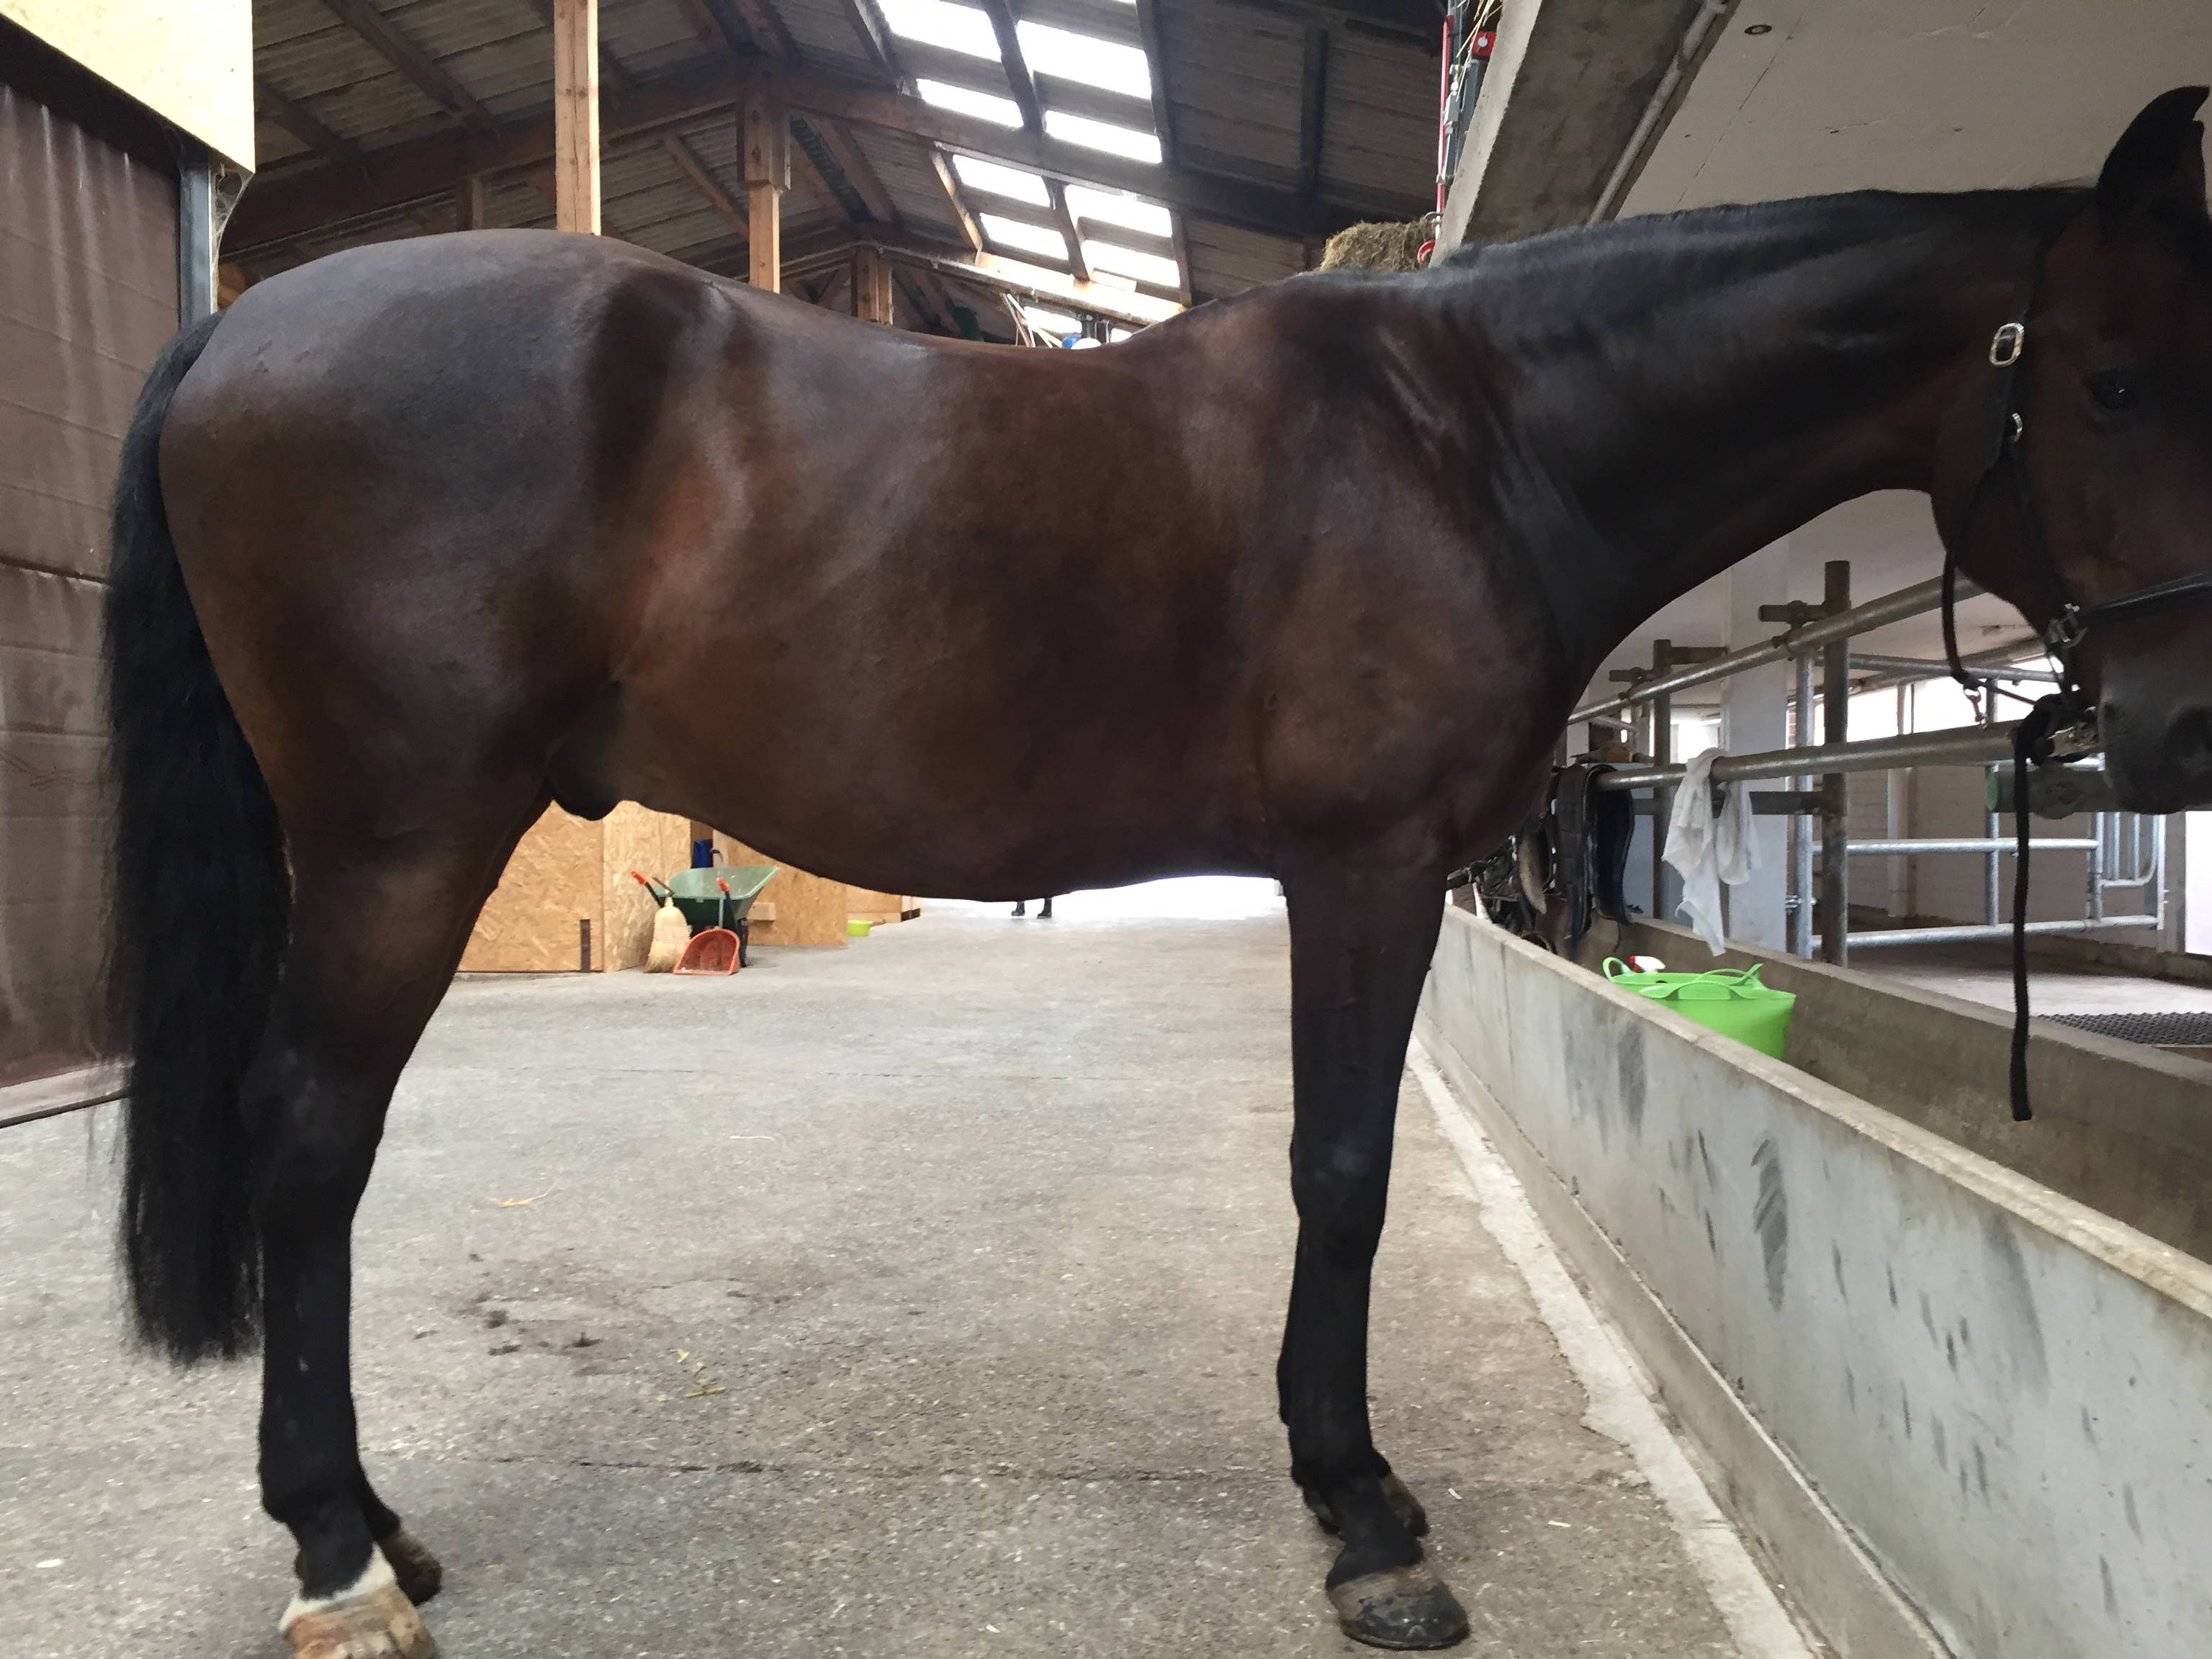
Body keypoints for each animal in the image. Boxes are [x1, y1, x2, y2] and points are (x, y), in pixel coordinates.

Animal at [104, 89, 2212, 1656]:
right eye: (2114, 382)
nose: (2178, 730)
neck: (1463, 435)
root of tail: (240, 326)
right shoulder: (1361, 872)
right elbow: (1340, 1171)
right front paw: (1365, 1522)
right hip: (399, 837)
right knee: (312, 1137)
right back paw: (337, 1561)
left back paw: (375, 1527)